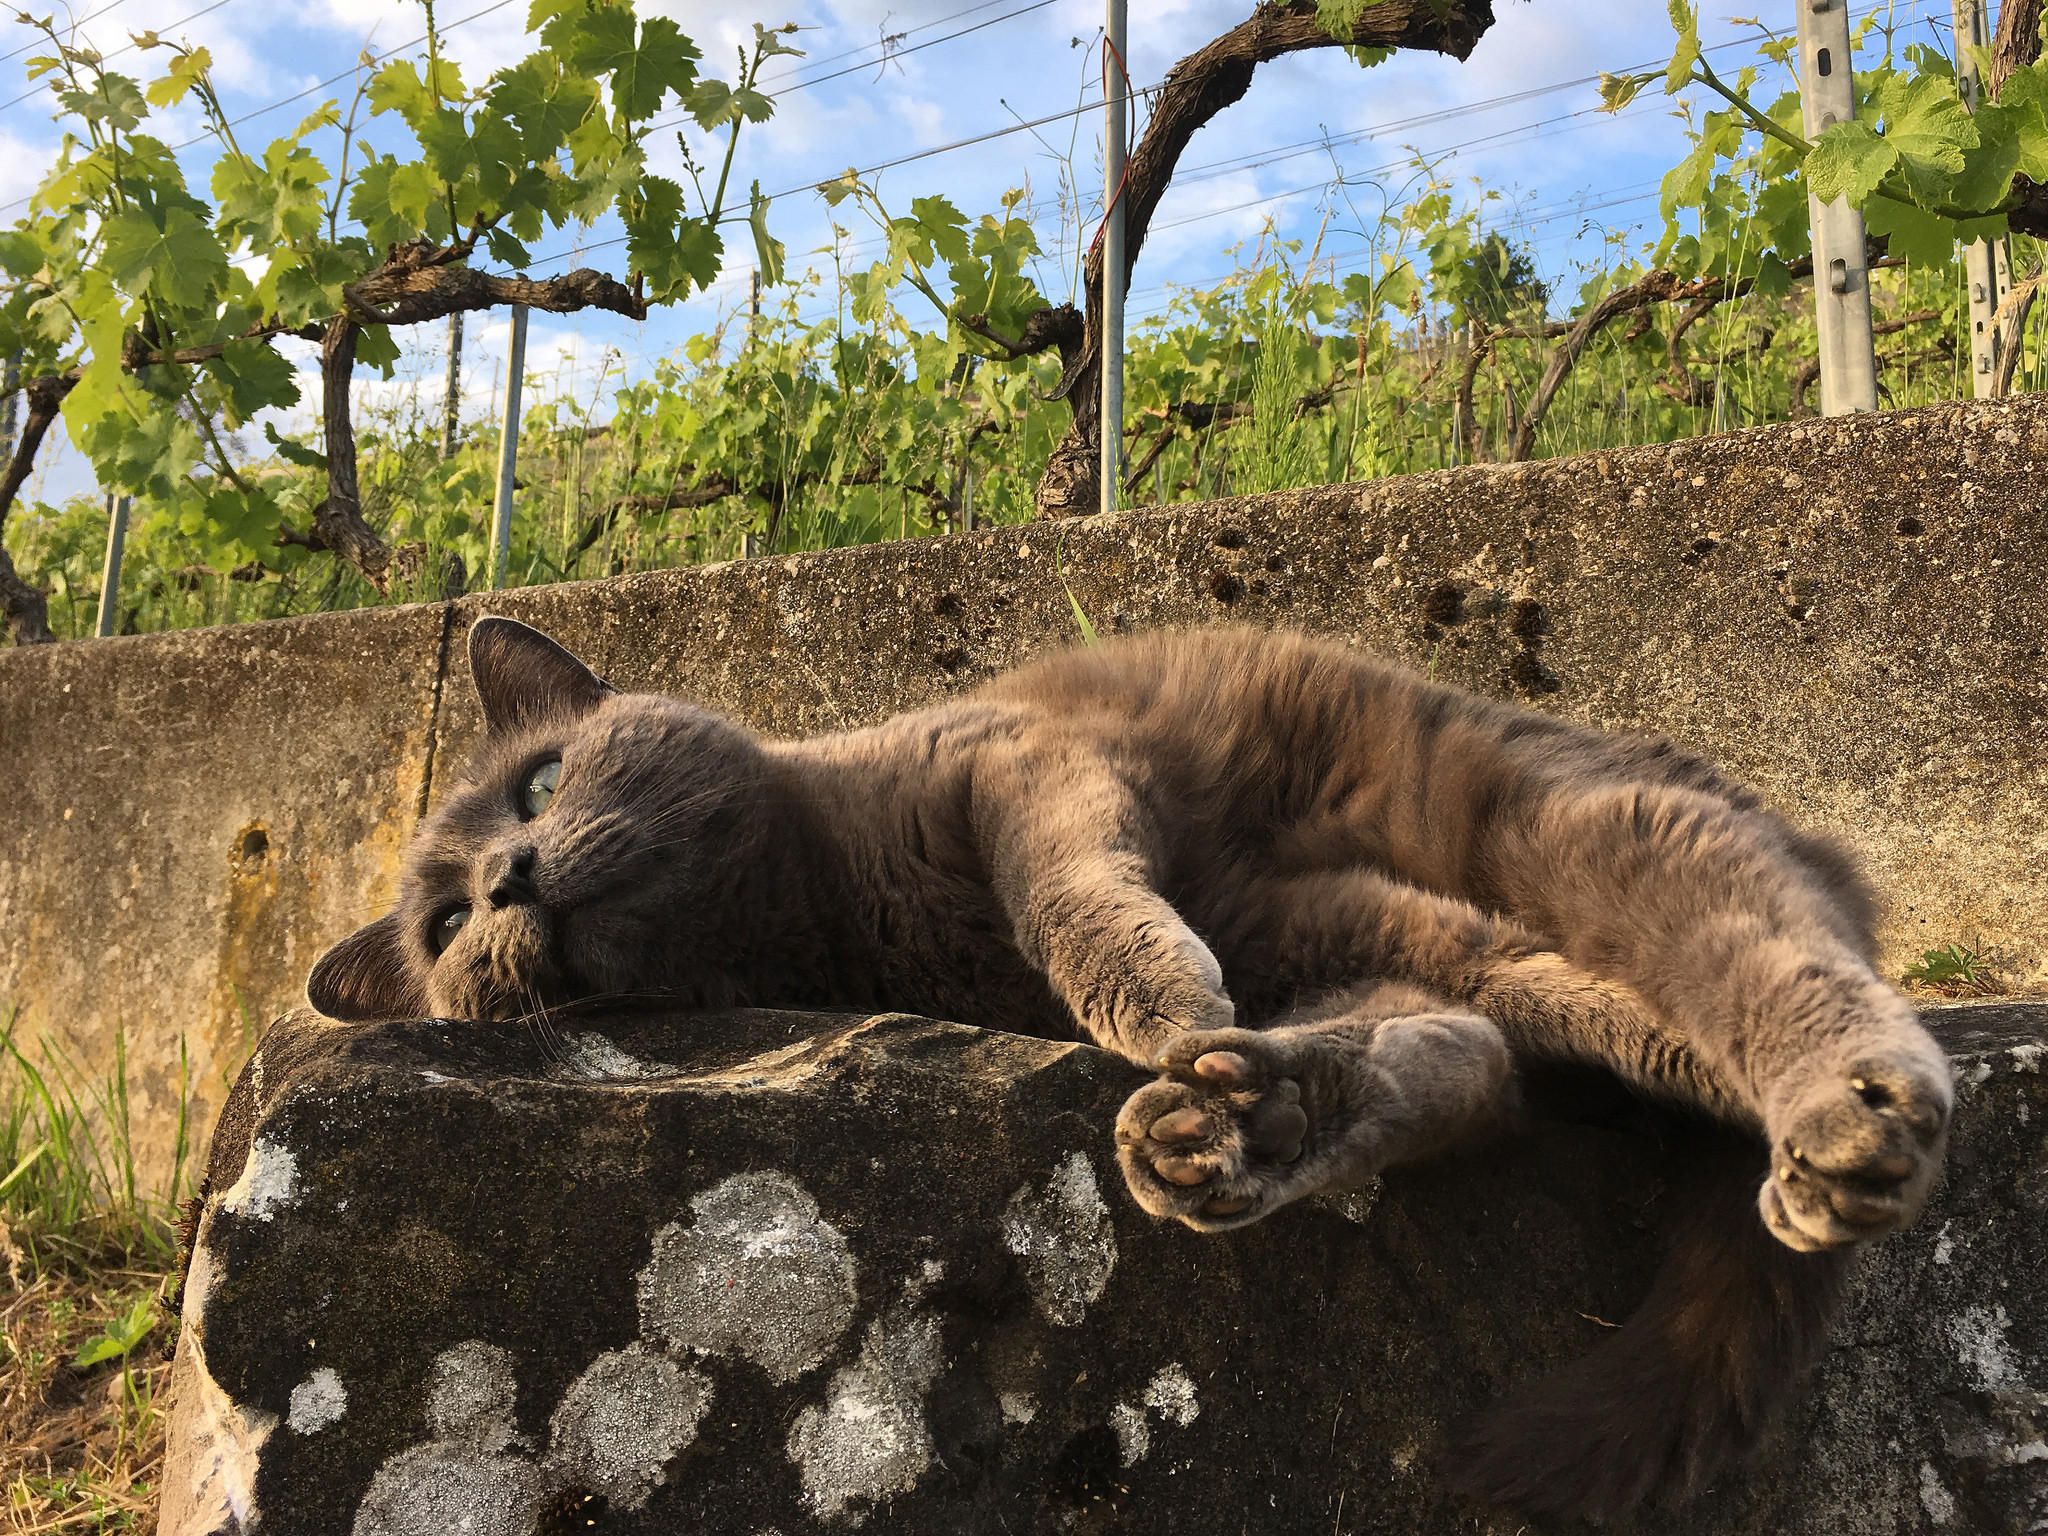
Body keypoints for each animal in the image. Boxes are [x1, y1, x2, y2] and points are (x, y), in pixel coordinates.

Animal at [307, 618, 1949, 1531]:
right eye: (443, 928)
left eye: (541, 778)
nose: (508, 880)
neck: (823, 903)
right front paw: (1189, 1045)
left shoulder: (1028, 762)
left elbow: (1068, 885)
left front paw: (1151, 1001)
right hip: (1399, 935)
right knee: (1488, 1051)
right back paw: (1263, 1120)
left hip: (1551, 823)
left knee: (1758, 952)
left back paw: (1855, 1118)